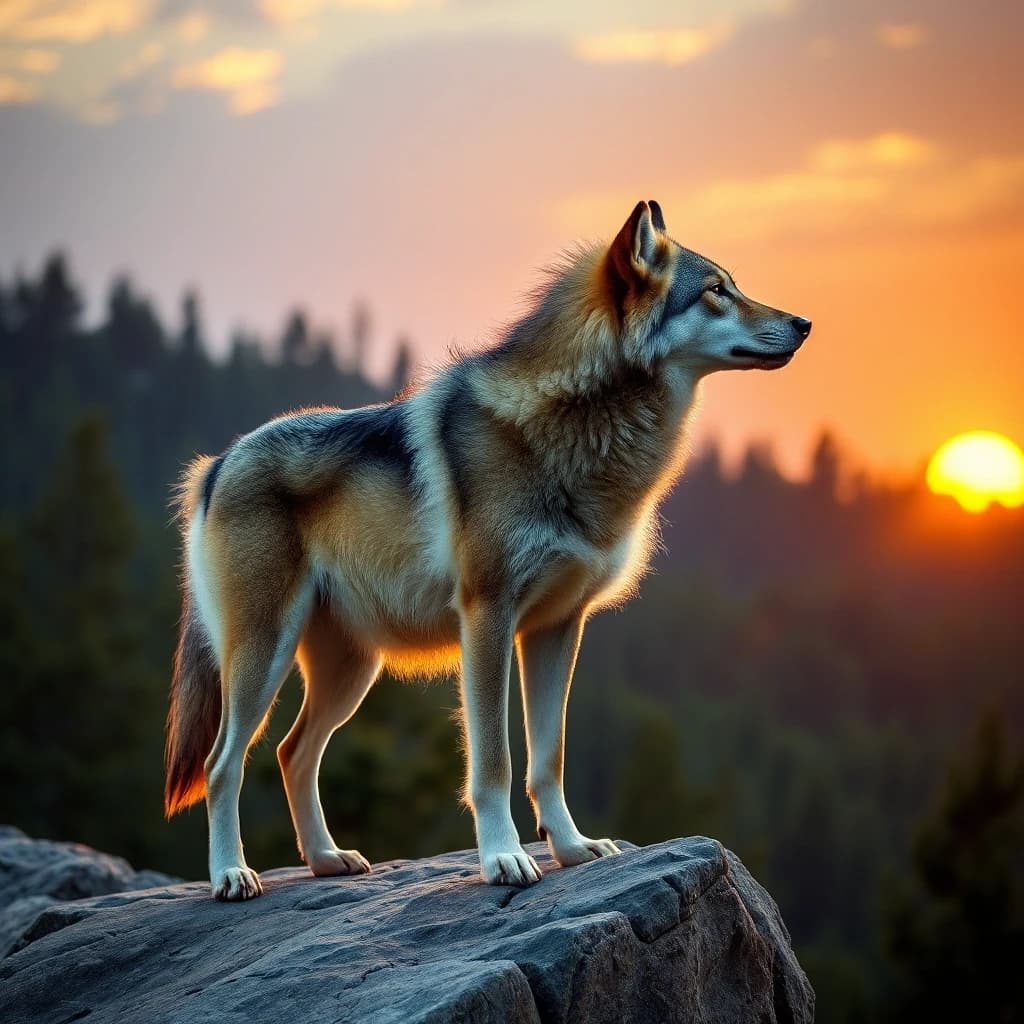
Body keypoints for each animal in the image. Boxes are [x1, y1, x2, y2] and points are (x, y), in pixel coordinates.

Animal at [164, 200, 811, 900]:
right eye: (717, 290)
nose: (804, 323)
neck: (581, 429)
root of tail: (216, 463)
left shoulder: (558, 627)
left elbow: (548, 757)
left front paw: (573, 849)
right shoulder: (487, 618)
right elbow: (495, 762)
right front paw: (504, 859)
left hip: (349, 672)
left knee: (291, 753)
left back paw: (326, 859)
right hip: (265, 656)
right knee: (223, 764)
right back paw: (231, 874)